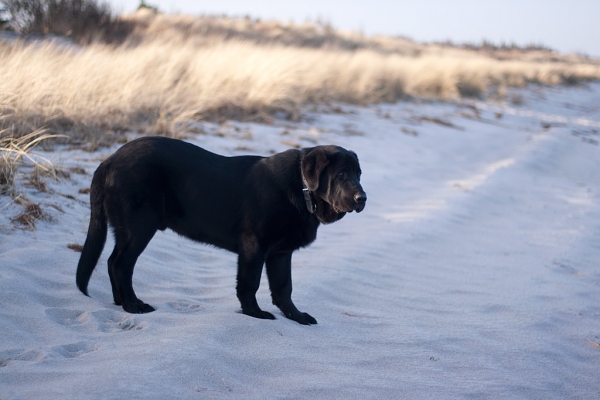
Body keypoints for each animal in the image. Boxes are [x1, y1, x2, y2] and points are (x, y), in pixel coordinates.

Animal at [75, 136, 366, 324]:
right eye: (342, 175)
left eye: (359, 174)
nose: (362, 198)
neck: (302, 188)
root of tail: (109, 161)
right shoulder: (254, 246)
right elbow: (250, 283)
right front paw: (254, 314)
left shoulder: (280, 253)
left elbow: (284, 288)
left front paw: (296, 316)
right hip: (140, 226)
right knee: (120, 264)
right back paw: (133, 305)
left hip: (128, 229)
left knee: (112, 261)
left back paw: (120, 302)